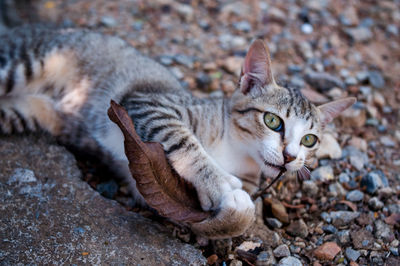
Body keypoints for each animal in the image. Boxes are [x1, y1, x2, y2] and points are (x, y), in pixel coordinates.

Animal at [0, 23, 356, 238]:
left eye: (309, 140)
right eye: (273, 121)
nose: (290, 157)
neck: (236, 152)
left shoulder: (142, 182)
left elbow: (232, 220)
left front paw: (237, 210)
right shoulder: (149, 105)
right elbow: (185, 143)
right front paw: (220, 183)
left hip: (25, 113)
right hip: (28, 63)